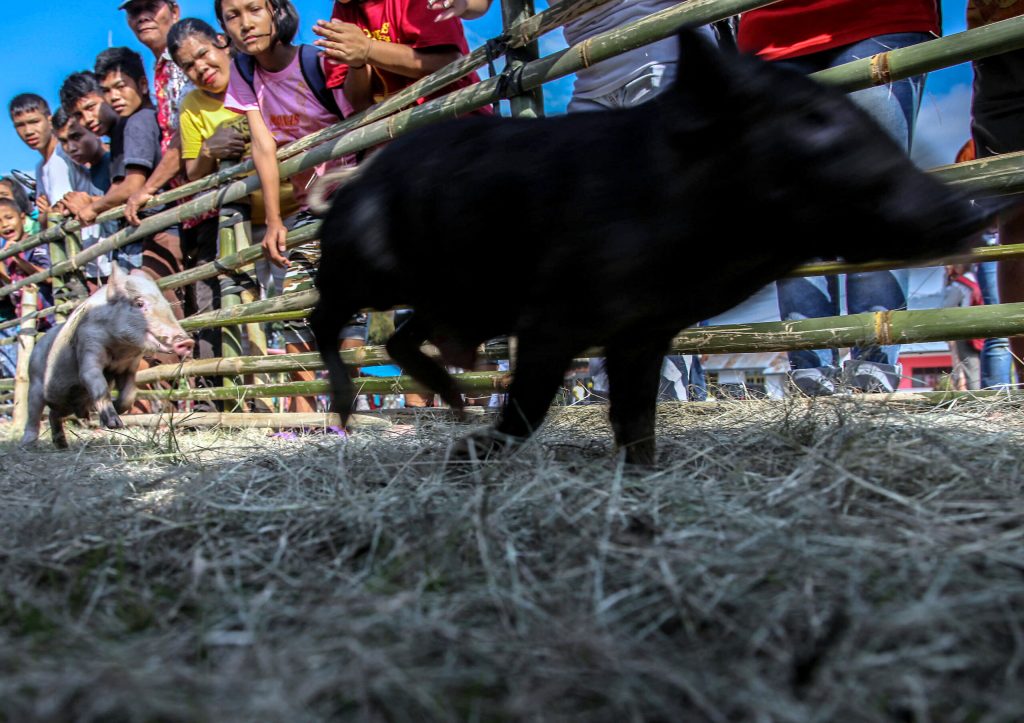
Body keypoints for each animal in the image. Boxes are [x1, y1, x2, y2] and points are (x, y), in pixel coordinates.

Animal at [21, 264, 193, 444]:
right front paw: (115, 424)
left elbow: (129, 394)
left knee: (54, 415)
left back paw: (62, 445)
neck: (121, 350)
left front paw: (117, 410)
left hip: (65, 404)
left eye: (167, 304)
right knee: (34, 413)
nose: (187, 341)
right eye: (139, 303)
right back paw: (28, 443)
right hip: (35, 384)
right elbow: (96, 381)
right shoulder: (88, 346)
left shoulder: (129, 367)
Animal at [309, 29, 991, 462]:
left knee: (399, 338)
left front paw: (643, 473)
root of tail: (349, 186)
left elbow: (636, 418)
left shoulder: (644, 331)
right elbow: (531, 404)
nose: (965, 212)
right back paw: (349, 411)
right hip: (368, 270)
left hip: (451, 296)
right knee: (325, 317)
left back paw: (453, 403)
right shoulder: (553, 316)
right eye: (815, 125)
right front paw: (472, 452)